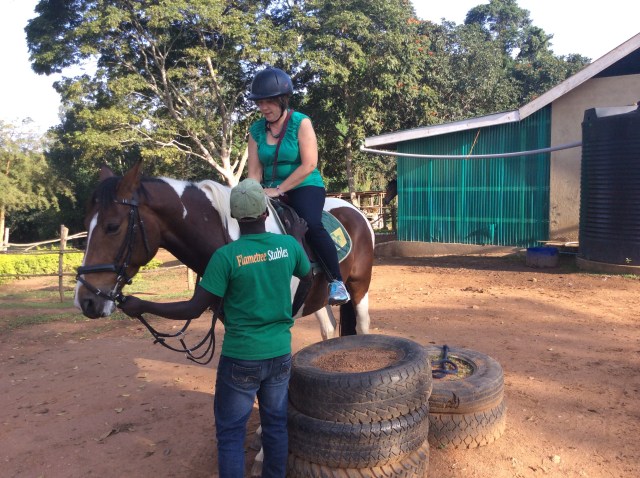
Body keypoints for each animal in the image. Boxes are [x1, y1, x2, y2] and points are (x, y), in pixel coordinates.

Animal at [74, 161, 375, 341]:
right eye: (85, 225)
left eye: (113, 226)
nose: (85, 300)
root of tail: (356, 211)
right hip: (317, 297)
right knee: (328, 330)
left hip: (359, 287)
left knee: (362, 327)